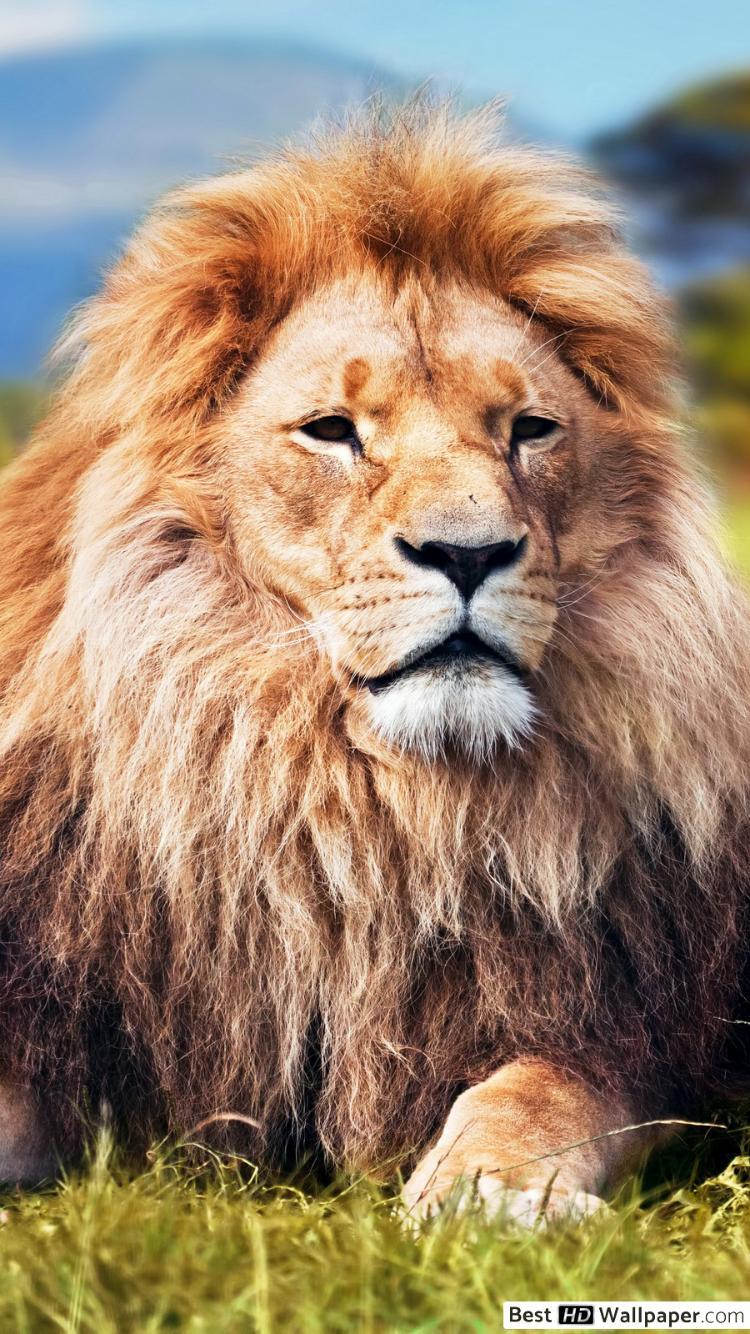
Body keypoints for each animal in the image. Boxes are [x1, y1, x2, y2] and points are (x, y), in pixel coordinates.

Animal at [0, 102, 748, 1219]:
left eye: (530, 429)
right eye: (331, 431)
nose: (469, 553)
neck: (360, 806)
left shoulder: (637, 1027)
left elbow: (545, 1087)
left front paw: (492, 1188)